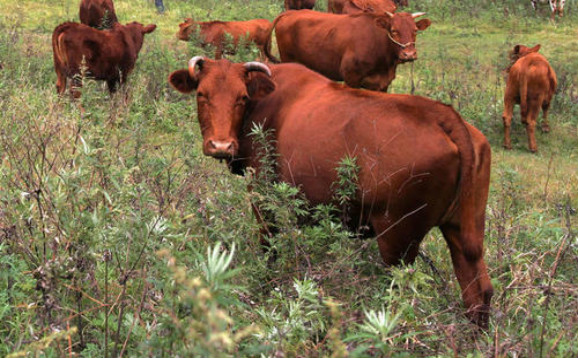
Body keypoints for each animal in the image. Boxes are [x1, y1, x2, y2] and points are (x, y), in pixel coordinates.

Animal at [166, 56, 490, 328]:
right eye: (201, 94)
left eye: (242, 97)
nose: (221, 145)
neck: (265, 104)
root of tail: (443, 115)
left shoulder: (262, 195)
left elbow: (269, 249)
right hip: (463, 230)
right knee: (479, 290)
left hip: (397, 237)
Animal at [264, 10, 430, 91]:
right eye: (394, 30)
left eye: (415, 30)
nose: (409, 54)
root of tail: (291, 12)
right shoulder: (351, 78)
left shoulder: (382, 84)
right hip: (288, 59)